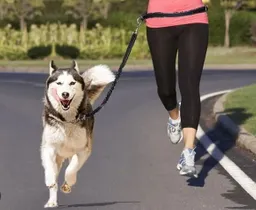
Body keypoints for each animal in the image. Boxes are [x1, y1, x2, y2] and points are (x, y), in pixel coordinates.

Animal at [40, 60, 114, 208]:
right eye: (59, 83)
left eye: (72, 83)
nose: (65, 94)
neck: (67, 120)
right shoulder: (48, 147)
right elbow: (50, 170)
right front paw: (50, 180)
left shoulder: (83, 150)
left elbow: (71, 169)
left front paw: (69, 182)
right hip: (58, 157)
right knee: (55, 176)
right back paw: (52, 201)